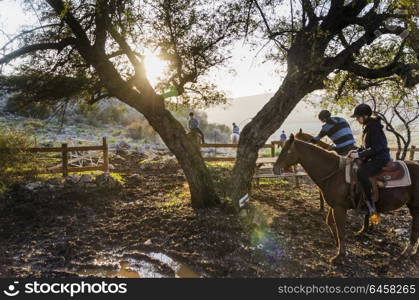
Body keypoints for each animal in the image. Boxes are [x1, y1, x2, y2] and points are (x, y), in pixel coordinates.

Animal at [274, 134, 419, 262]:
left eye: (287, 151)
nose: (275, 169)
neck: (334, 173)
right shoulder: (334, 205)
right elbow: (330, 222)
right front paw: (337, 244)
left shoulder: (339, 208)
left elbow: (340, 229)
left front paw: (340, 254)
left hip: (415, 207)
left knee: (415, 229)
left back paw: (406, 253)